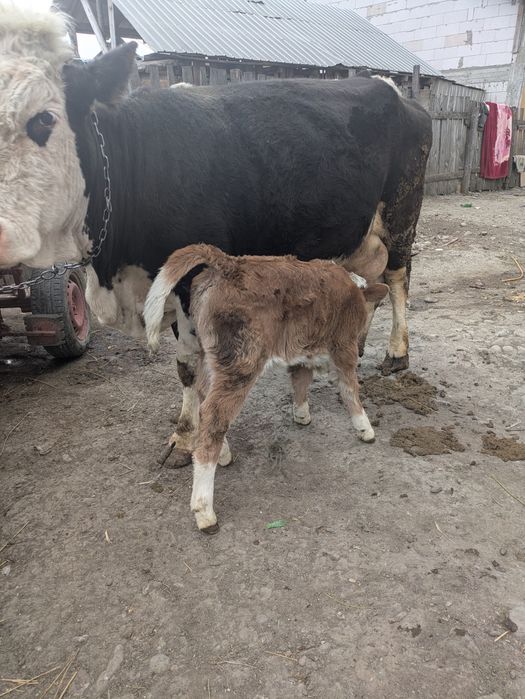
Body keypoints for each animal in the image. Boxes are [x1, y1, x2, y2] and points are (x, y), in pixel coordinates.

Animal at [0, 5, 432, 457]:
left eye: (44, 117)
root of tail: (392, 88)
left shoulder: (191, 281)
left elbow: (191, 363)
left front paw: (198, 438)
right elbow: (185, 369)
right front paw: (185, 431)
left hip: (401, 214)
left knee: (398, 278)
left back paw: (396, 353)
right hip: (358, 234)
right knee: (372, 280)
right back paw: (360, 342)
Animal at [144, 244, 389, 532]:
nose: (363, 346)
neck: (352, 290)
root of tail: (226, 264)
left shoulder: (302, 346)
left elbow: (301, 378)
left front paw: (301, 414)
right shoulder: (344, 345)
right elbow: (350, 389)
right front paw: (365, 428)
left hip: (207, 353)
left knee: (204, 400)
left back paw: (223, 453)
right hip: (241, 362)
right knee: (214, 414)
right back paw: (204, 511)